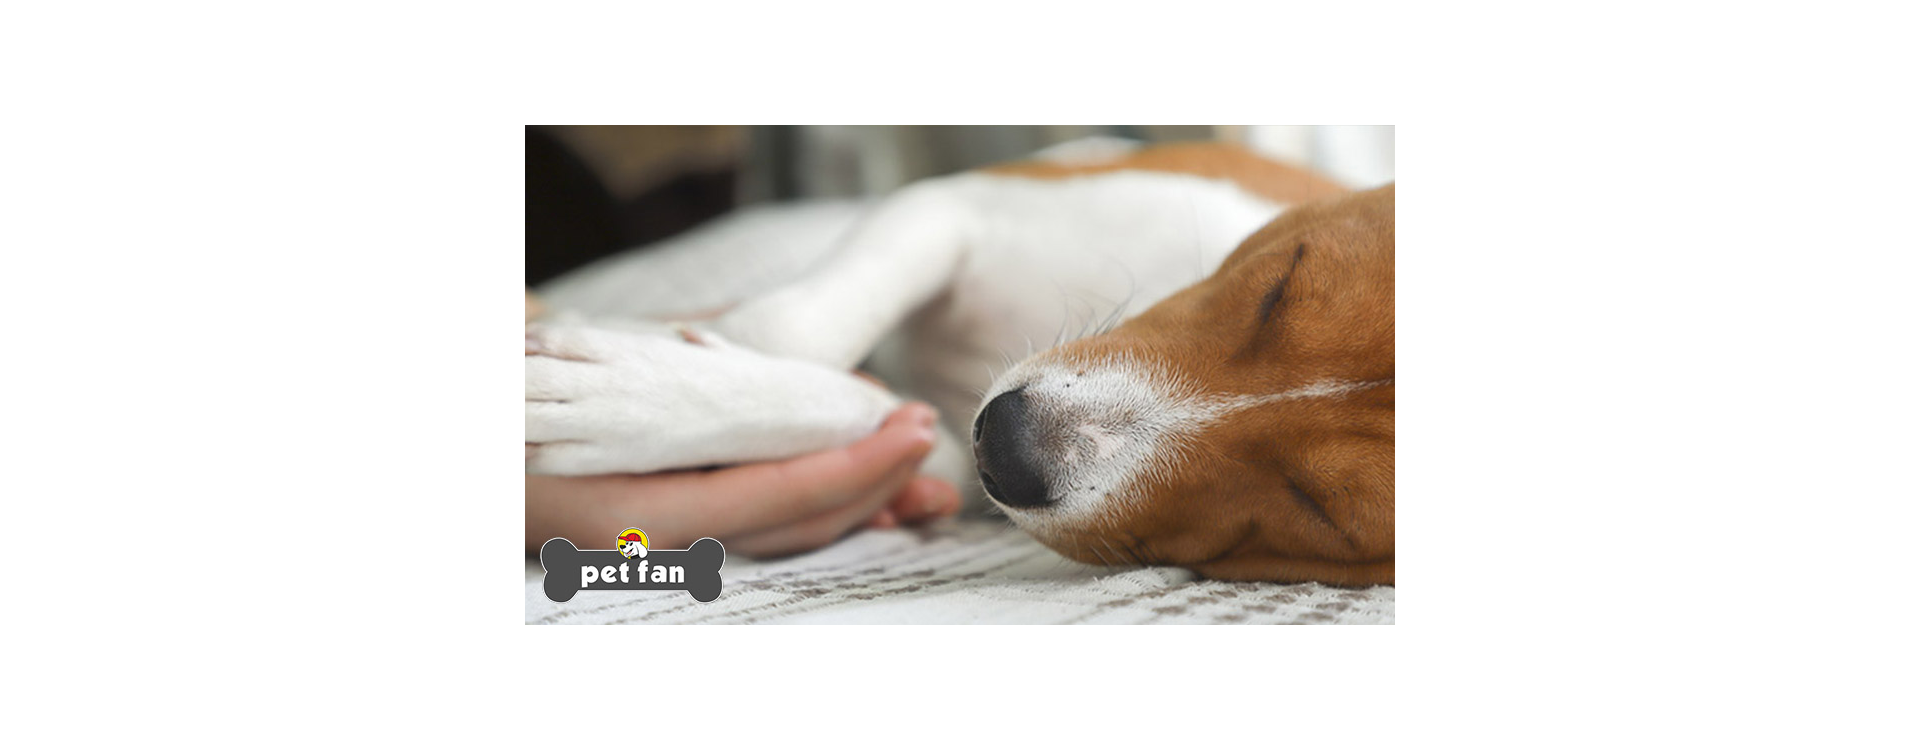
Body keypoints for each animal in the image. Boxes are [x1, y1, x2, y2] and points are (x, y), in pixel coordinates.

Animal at [526, 140, 1397, 586]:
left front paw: (639, 402)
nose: (1007, 447)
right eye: (1278, 287)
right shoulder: (959, 207)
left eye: (1322, 511)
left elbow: (870, 413)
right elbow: (791, 324)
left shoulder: (944, 451)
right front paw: (638, 367)